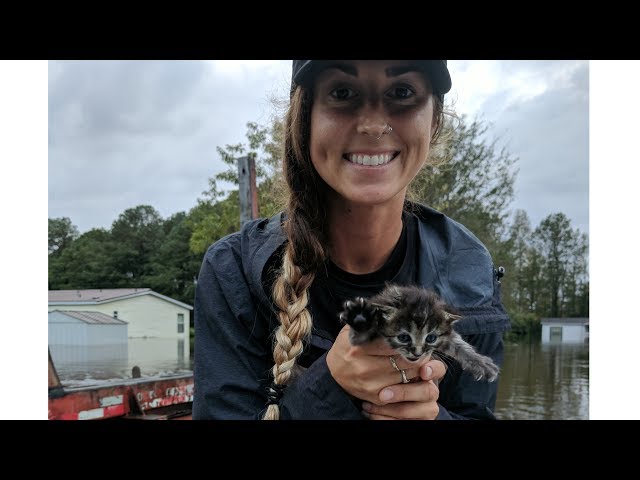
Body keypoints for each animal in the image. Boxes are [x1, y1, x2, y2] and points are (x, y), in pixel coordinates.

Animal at [340, 284, 500, 382]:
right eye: (404, 337)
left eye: (431, 338)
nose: (417, 353)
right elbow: (357, 337)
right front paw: (360, 318)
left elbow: (459, 344)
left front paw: (481, 363)